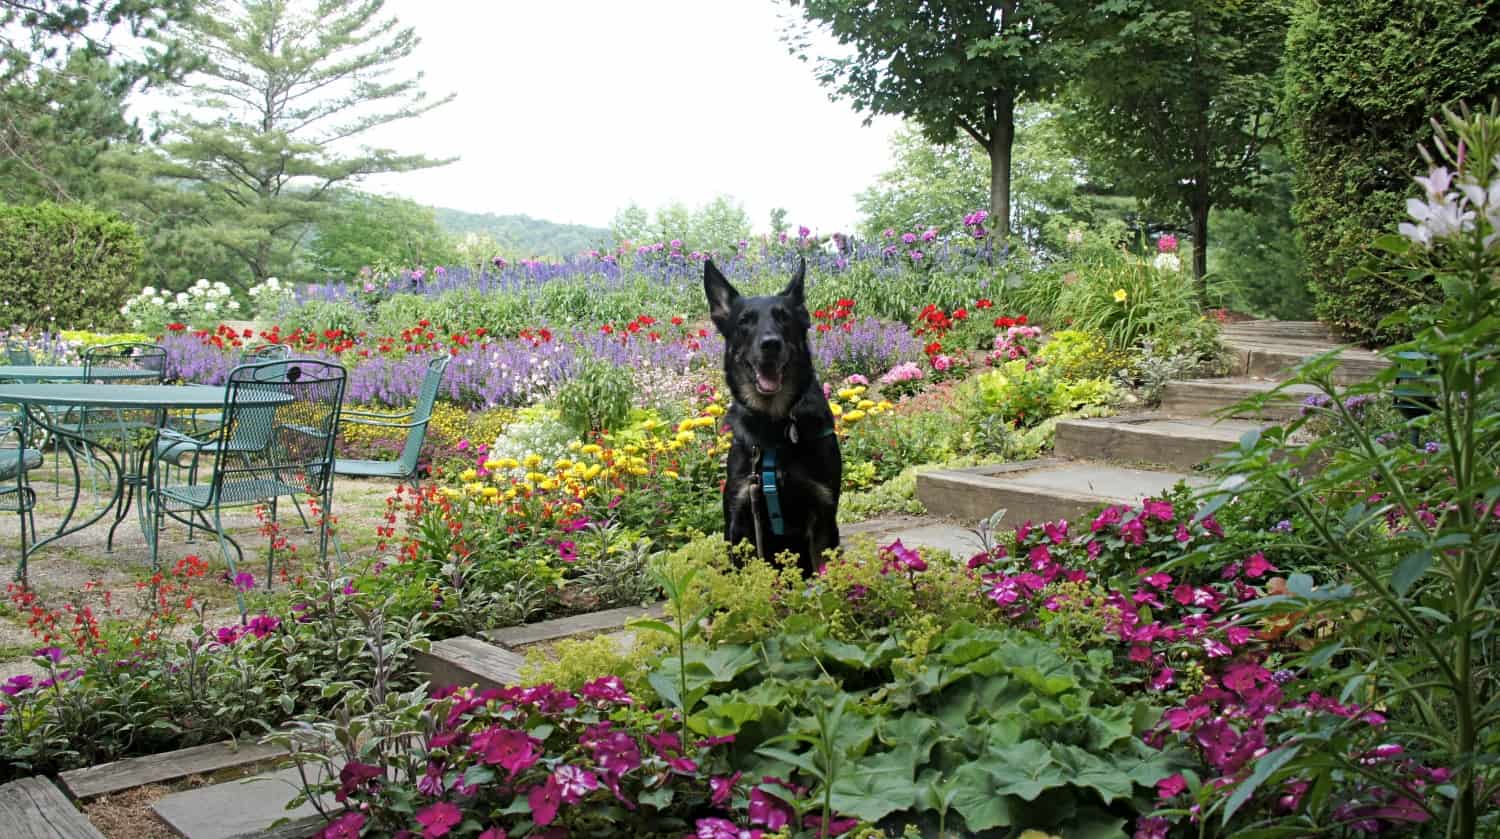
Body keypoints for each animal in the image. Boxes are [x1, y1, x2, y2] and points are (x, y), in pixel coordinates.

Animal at [705, 256, 840, 573]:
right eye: (744, 321)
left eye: (784, 317)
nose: (770, 343)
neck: (773, 424)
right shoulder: (740, 517)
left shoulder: (822, 513)